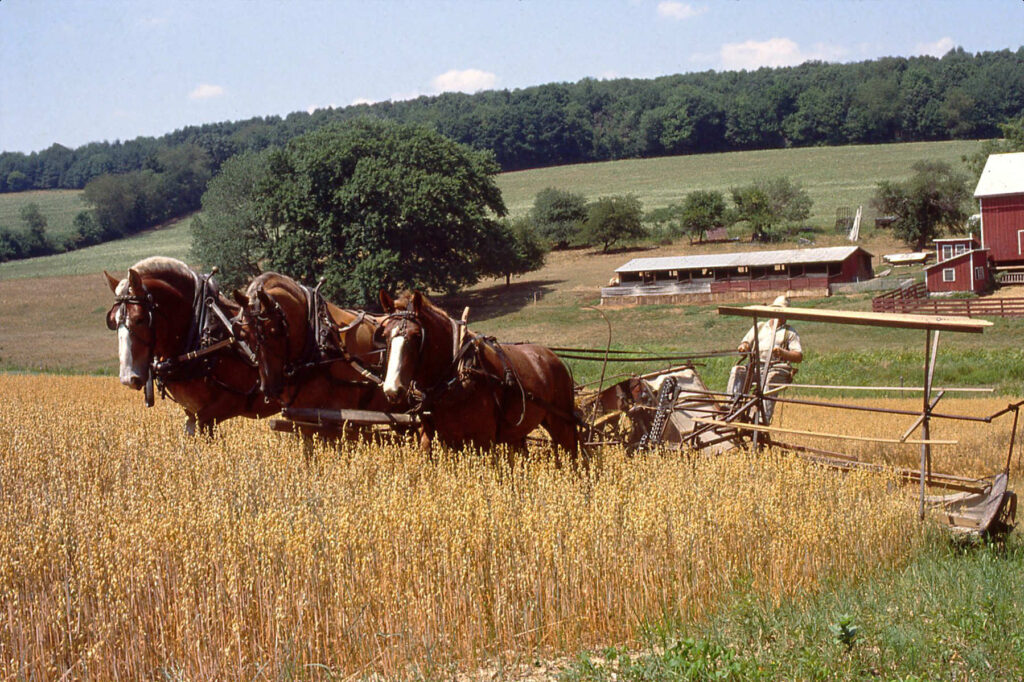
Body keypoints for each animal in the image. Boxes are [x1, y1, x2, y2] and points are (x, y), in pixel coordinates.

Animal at [378, 288, 585, 464]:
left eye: (416, 335)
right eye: (385, 334)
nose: (392, 389)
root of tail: (556, 359)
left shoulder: (482, 440)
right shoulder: (432, 437)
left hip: (561, 423)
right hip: (519, 432)